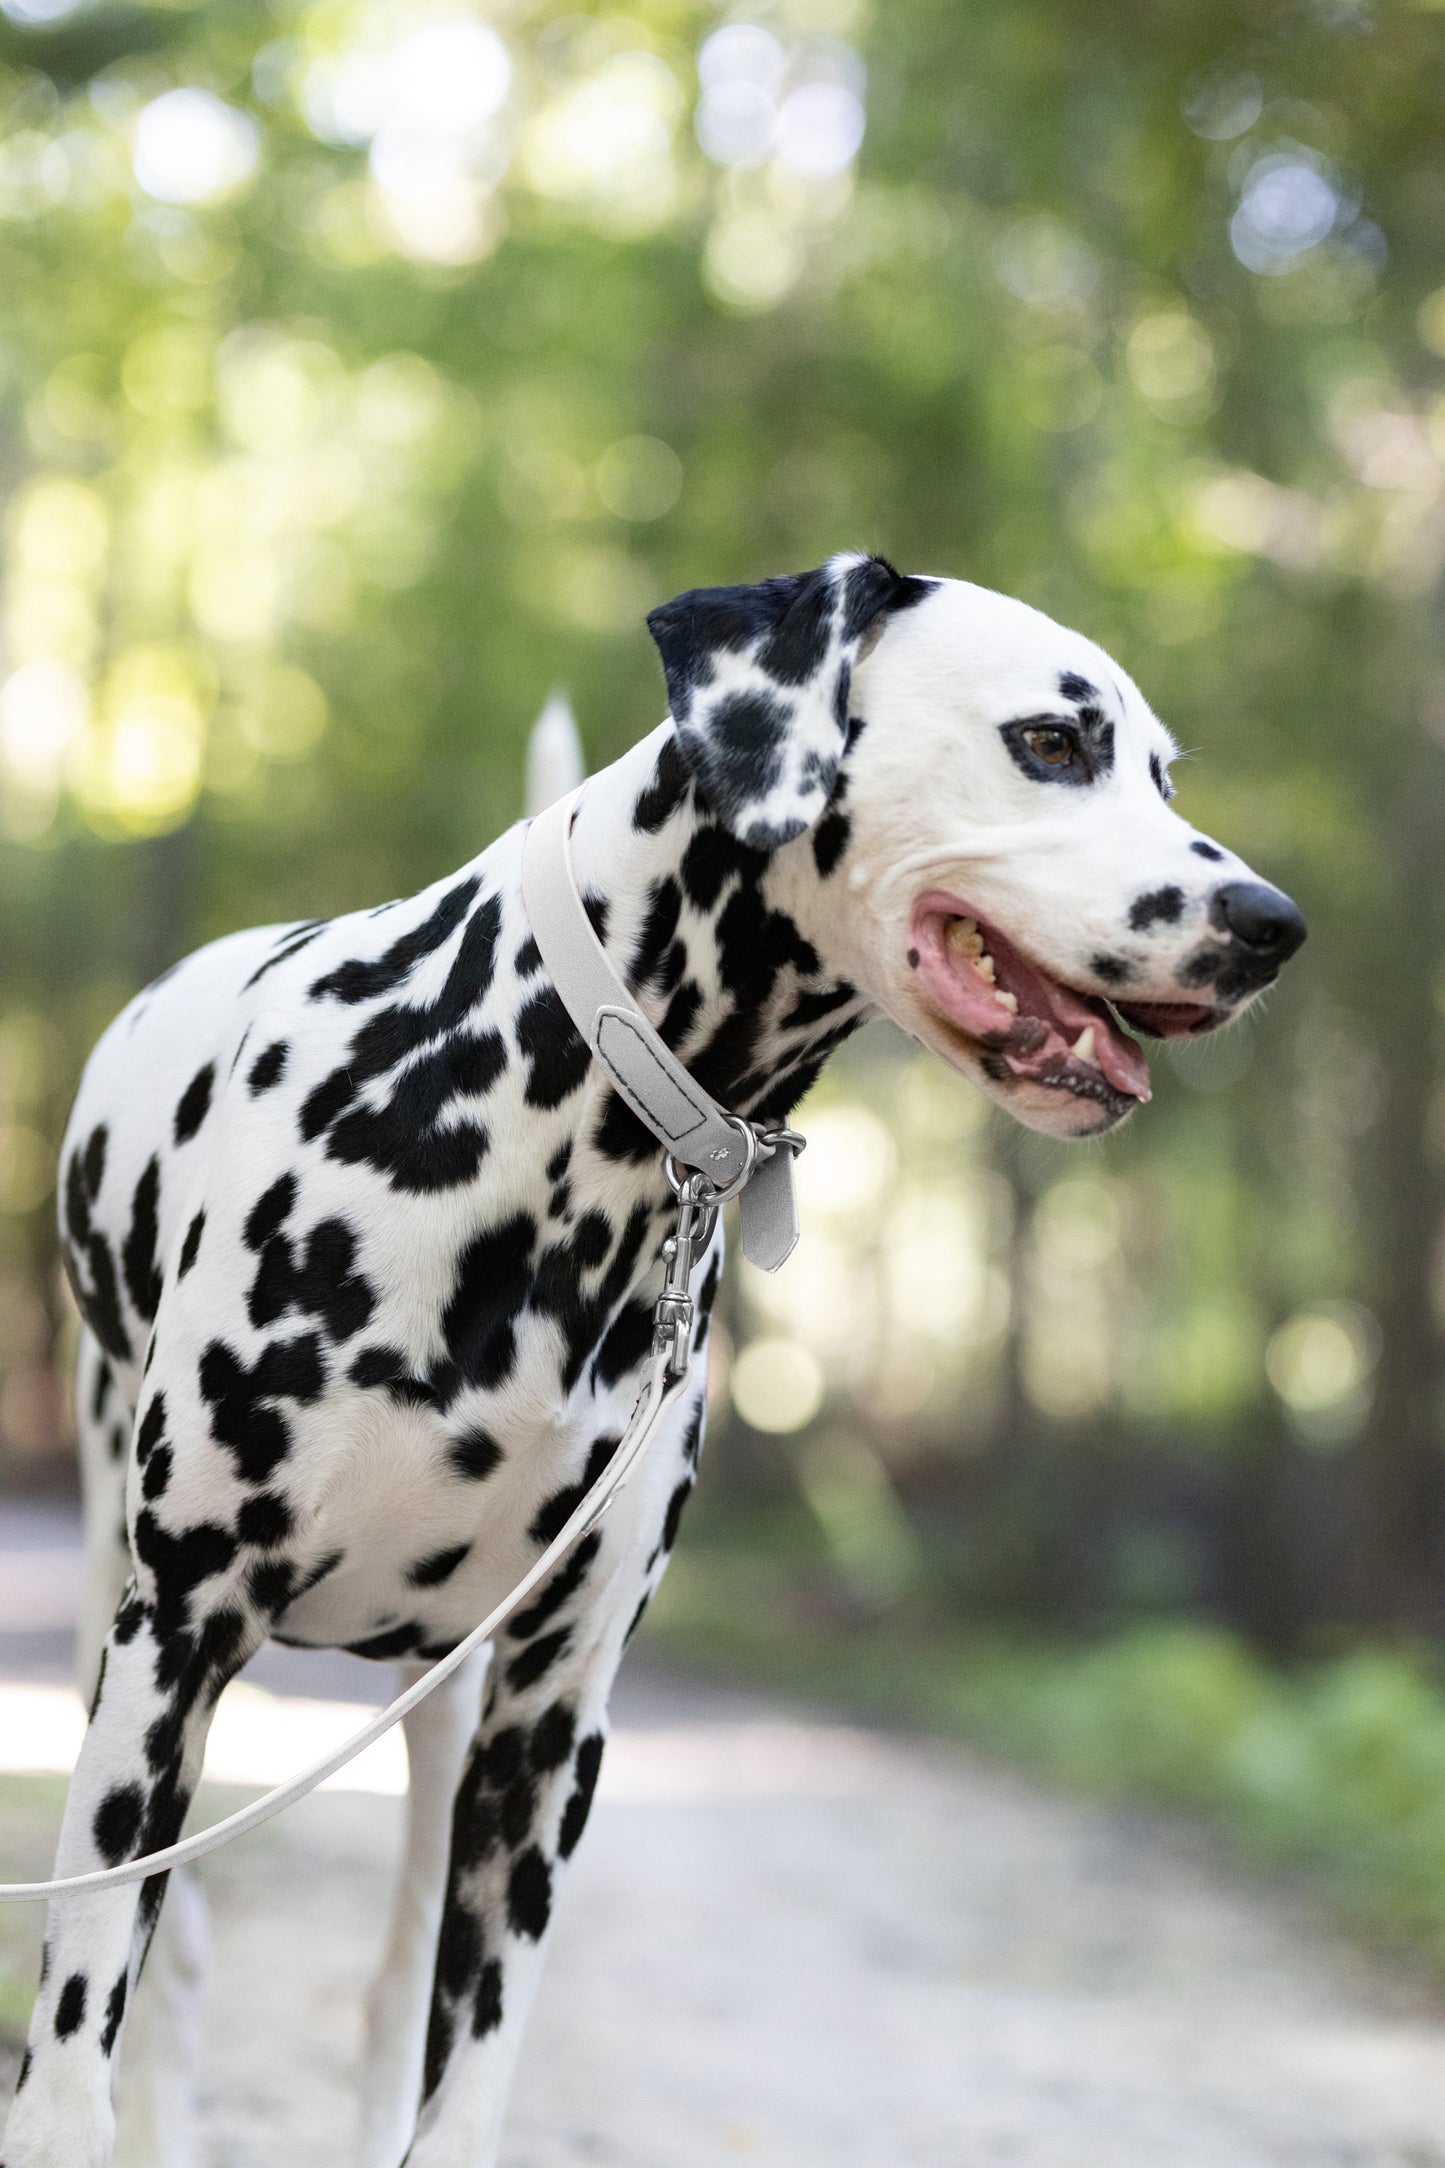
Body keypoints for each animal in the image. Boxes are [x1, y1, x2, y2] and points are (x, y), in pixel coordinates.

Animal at [2, 555, 1308, 2168]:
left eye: (1163, 770)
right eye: (1053, 742)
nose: (1271, 923)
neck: (546, 1130)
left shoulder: (551, 1718)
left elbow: (463, 2082)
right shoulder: (178, 1643)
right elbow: (75, 2058)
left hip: (444, 1709)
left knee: (387, 1999)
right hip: (124, 1636)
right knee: (169, 1986)